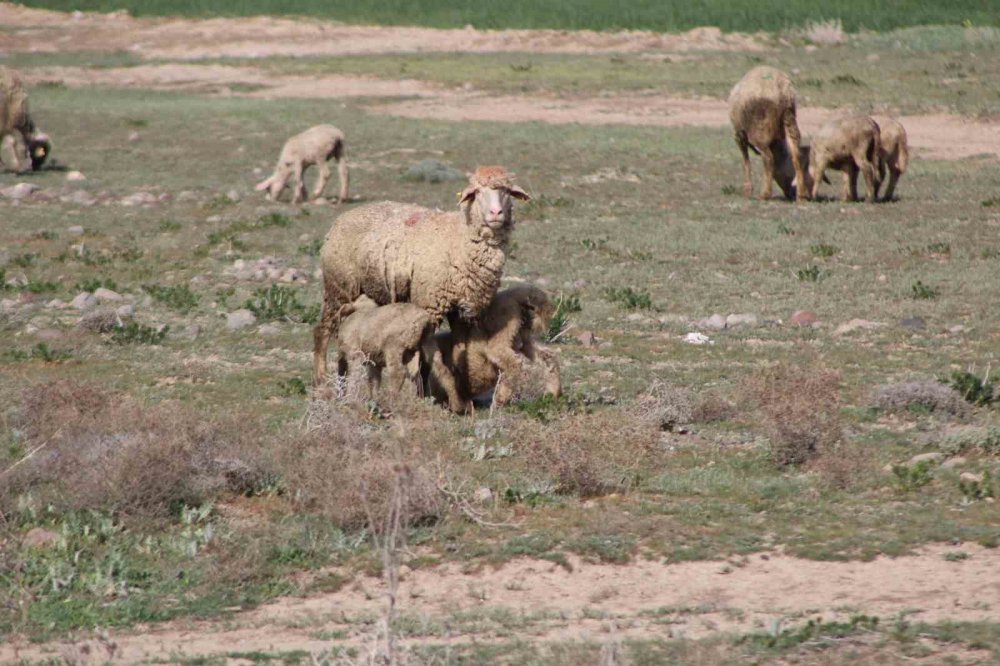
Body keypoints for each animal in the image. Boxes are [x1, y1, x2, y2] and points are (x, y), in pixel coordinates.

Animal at [312, 163, 532, 386]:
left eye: (507, 191)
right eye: (476, 192)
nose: (496, 213)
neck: (459, 239)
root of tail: (340, 220)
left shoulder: (462, 311)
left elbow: (459, 353)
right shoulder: (429, 305)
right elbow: (423, 362)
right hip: (339, 287)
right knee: (322, 330)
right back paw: (321, 377)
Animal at [422, 282, 564, 412]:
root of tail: (517, 296)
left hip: (502, 335)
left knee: (513, 362)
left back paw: (500, 399)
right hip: (523, 339)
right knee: (547, 356)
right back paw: (553, 393)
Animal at [728, 67, 812, 202]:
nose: (791, 193)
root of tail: (782, 89)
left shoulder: (739, 135)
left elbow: (746, 161)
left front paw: (747, 190)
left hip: (760, 130)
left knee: (768, 158)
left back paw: (765, 195)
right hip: (790, 119)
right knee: (796, 155)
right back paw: (801, 195)